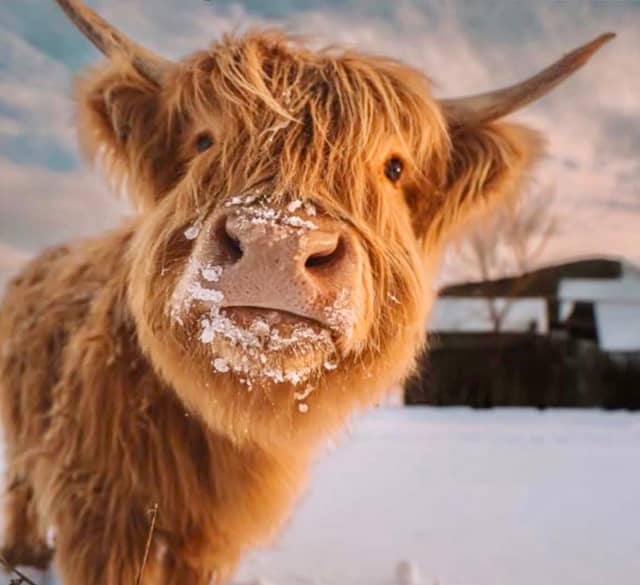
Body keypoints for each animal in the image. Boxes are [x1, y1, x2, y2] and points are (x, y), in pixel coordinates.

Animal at [0, 1, 613, 583]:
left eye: (394, 167)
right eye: (204, 140)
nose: (277, 242)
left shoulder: (210, 535)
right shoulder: (102, 509)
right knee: (22, 483)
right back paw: (23, 552)